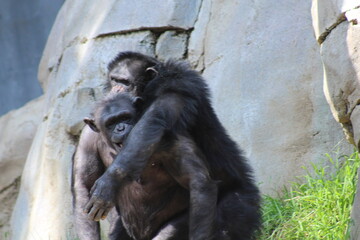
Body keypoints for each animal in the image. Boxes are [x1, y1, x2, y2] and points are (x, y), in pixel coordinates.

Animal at [71, 92, 215, 240]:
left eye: (125, 117)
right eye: (110, 123)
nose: (121, 128)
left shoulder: (166, 131)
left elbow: (196, 180)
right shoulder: (87, 139)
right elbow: (84, 183)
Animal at [85, 51, 260, 239]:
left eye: (125, 82)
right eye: (114, 79)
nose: (115, 89)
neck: (148, 89)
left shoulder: (176, 85)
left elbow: (154, 119)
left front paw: (110, 180)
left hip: (240, 204)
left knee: (228, 220)